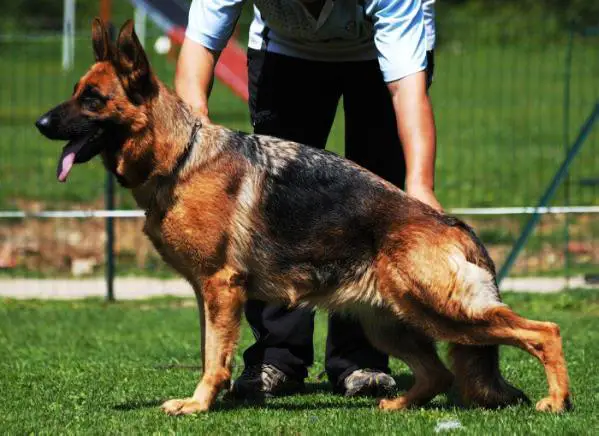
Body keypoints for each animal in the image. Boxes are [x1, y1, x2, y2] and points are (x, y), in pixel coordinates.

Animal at [35, 19, 576, 416]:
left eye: (92, 99)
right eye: (76, 91)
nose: (40, 123)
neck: (180, 158)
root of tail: (455, 226)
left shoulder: (221, 288)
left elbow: (214, 357)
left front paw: (199, 404)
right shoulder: (206, 293)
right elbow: (211, 350)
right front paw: (205, 399)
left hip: (443, 312)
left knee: (544, 331)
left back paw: (556, 400)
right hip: (393, 322)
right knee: (441, 373)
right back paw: (396, 405)